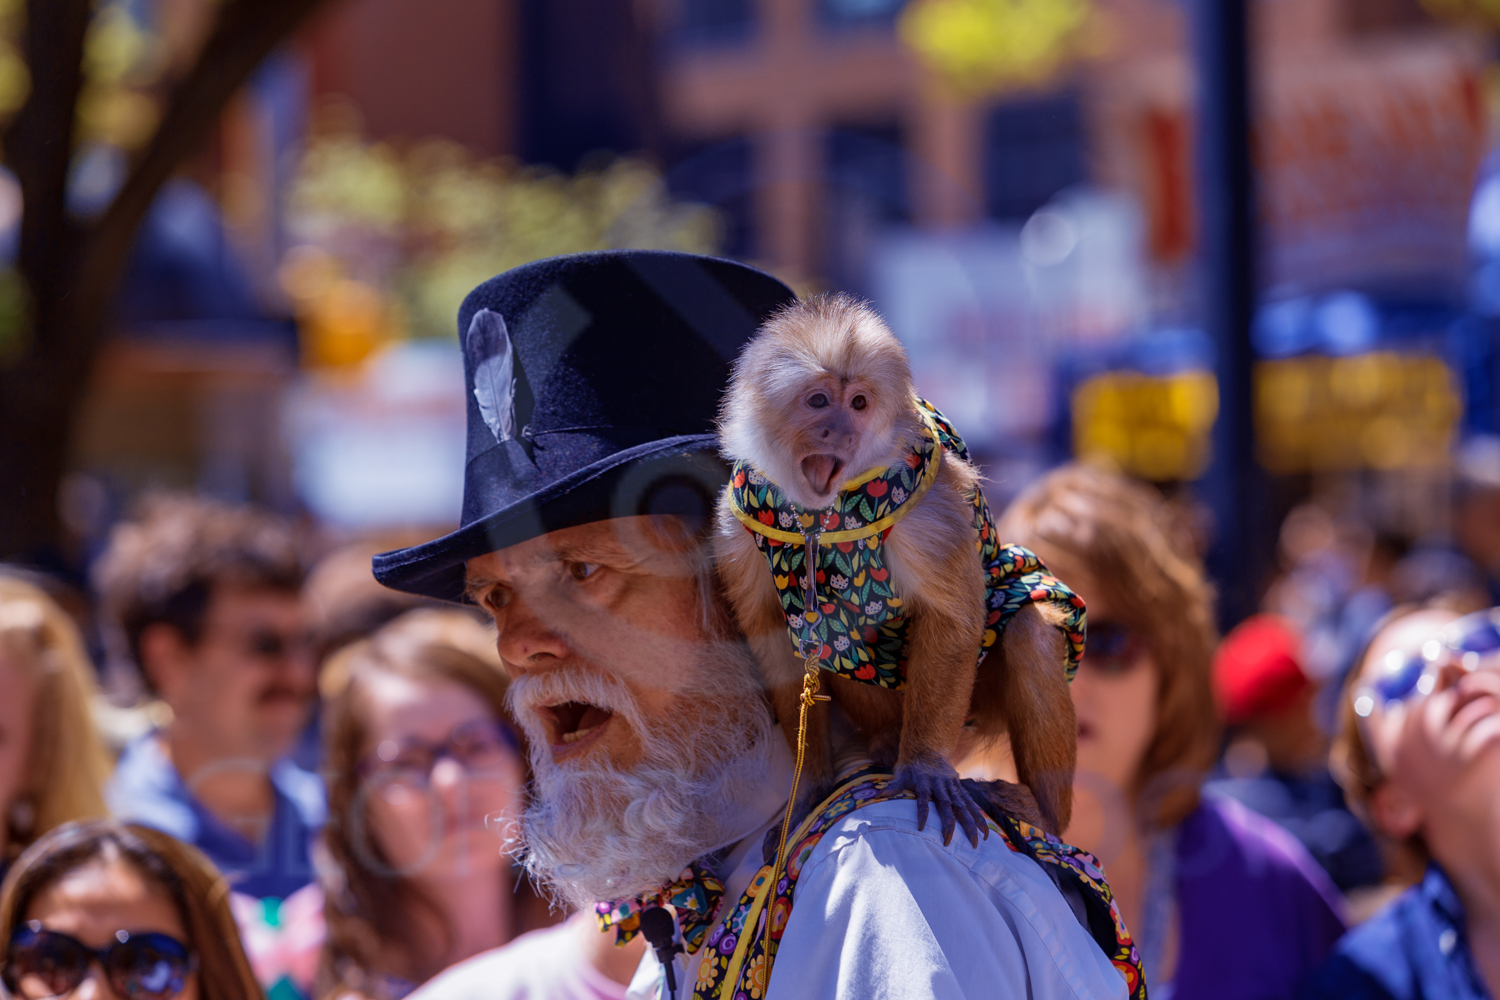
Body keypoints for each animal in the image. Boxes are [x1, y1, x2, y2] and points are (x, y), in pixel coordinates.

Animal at [713, 293, 1081, 847]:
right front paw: (812, 782)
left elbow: (952, 619)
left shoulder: (925, 514)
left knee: (1026, 632)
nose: (841, 431)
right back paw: (887, 741)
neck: (818, 517)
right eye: (819, 401)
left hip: (971, 704)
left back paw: (1043, 812)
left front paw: (924, 768)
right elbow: (773, 638)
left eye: (859, 405)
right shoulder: (736, 529)